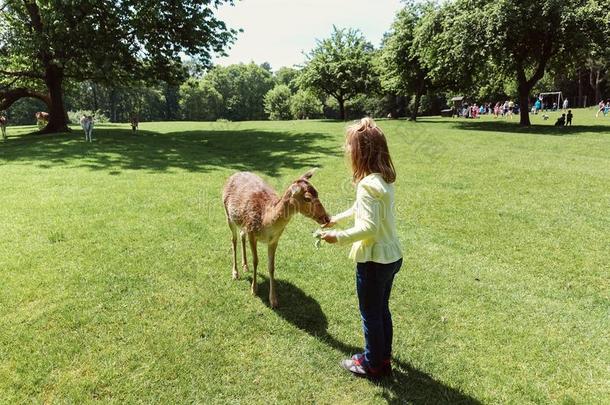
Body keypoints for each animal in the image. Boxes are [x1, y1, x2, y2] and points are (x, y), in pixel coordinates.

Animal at [222, 170, 328, 306]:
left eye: (317, 192)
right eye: (307, 198)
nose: (327, 218)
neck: (265, 221)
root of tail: (234, 174)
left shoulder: (274, 240)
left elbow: (271, 266)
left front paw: (273, 300)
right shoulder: (252, 232)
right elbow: (256, 261)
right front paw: (254, 290)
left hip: (241, 223)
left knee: (241, 235)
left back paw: (245, 266)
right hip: (228, 215)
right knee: (233, 240)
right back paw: (235, 273)